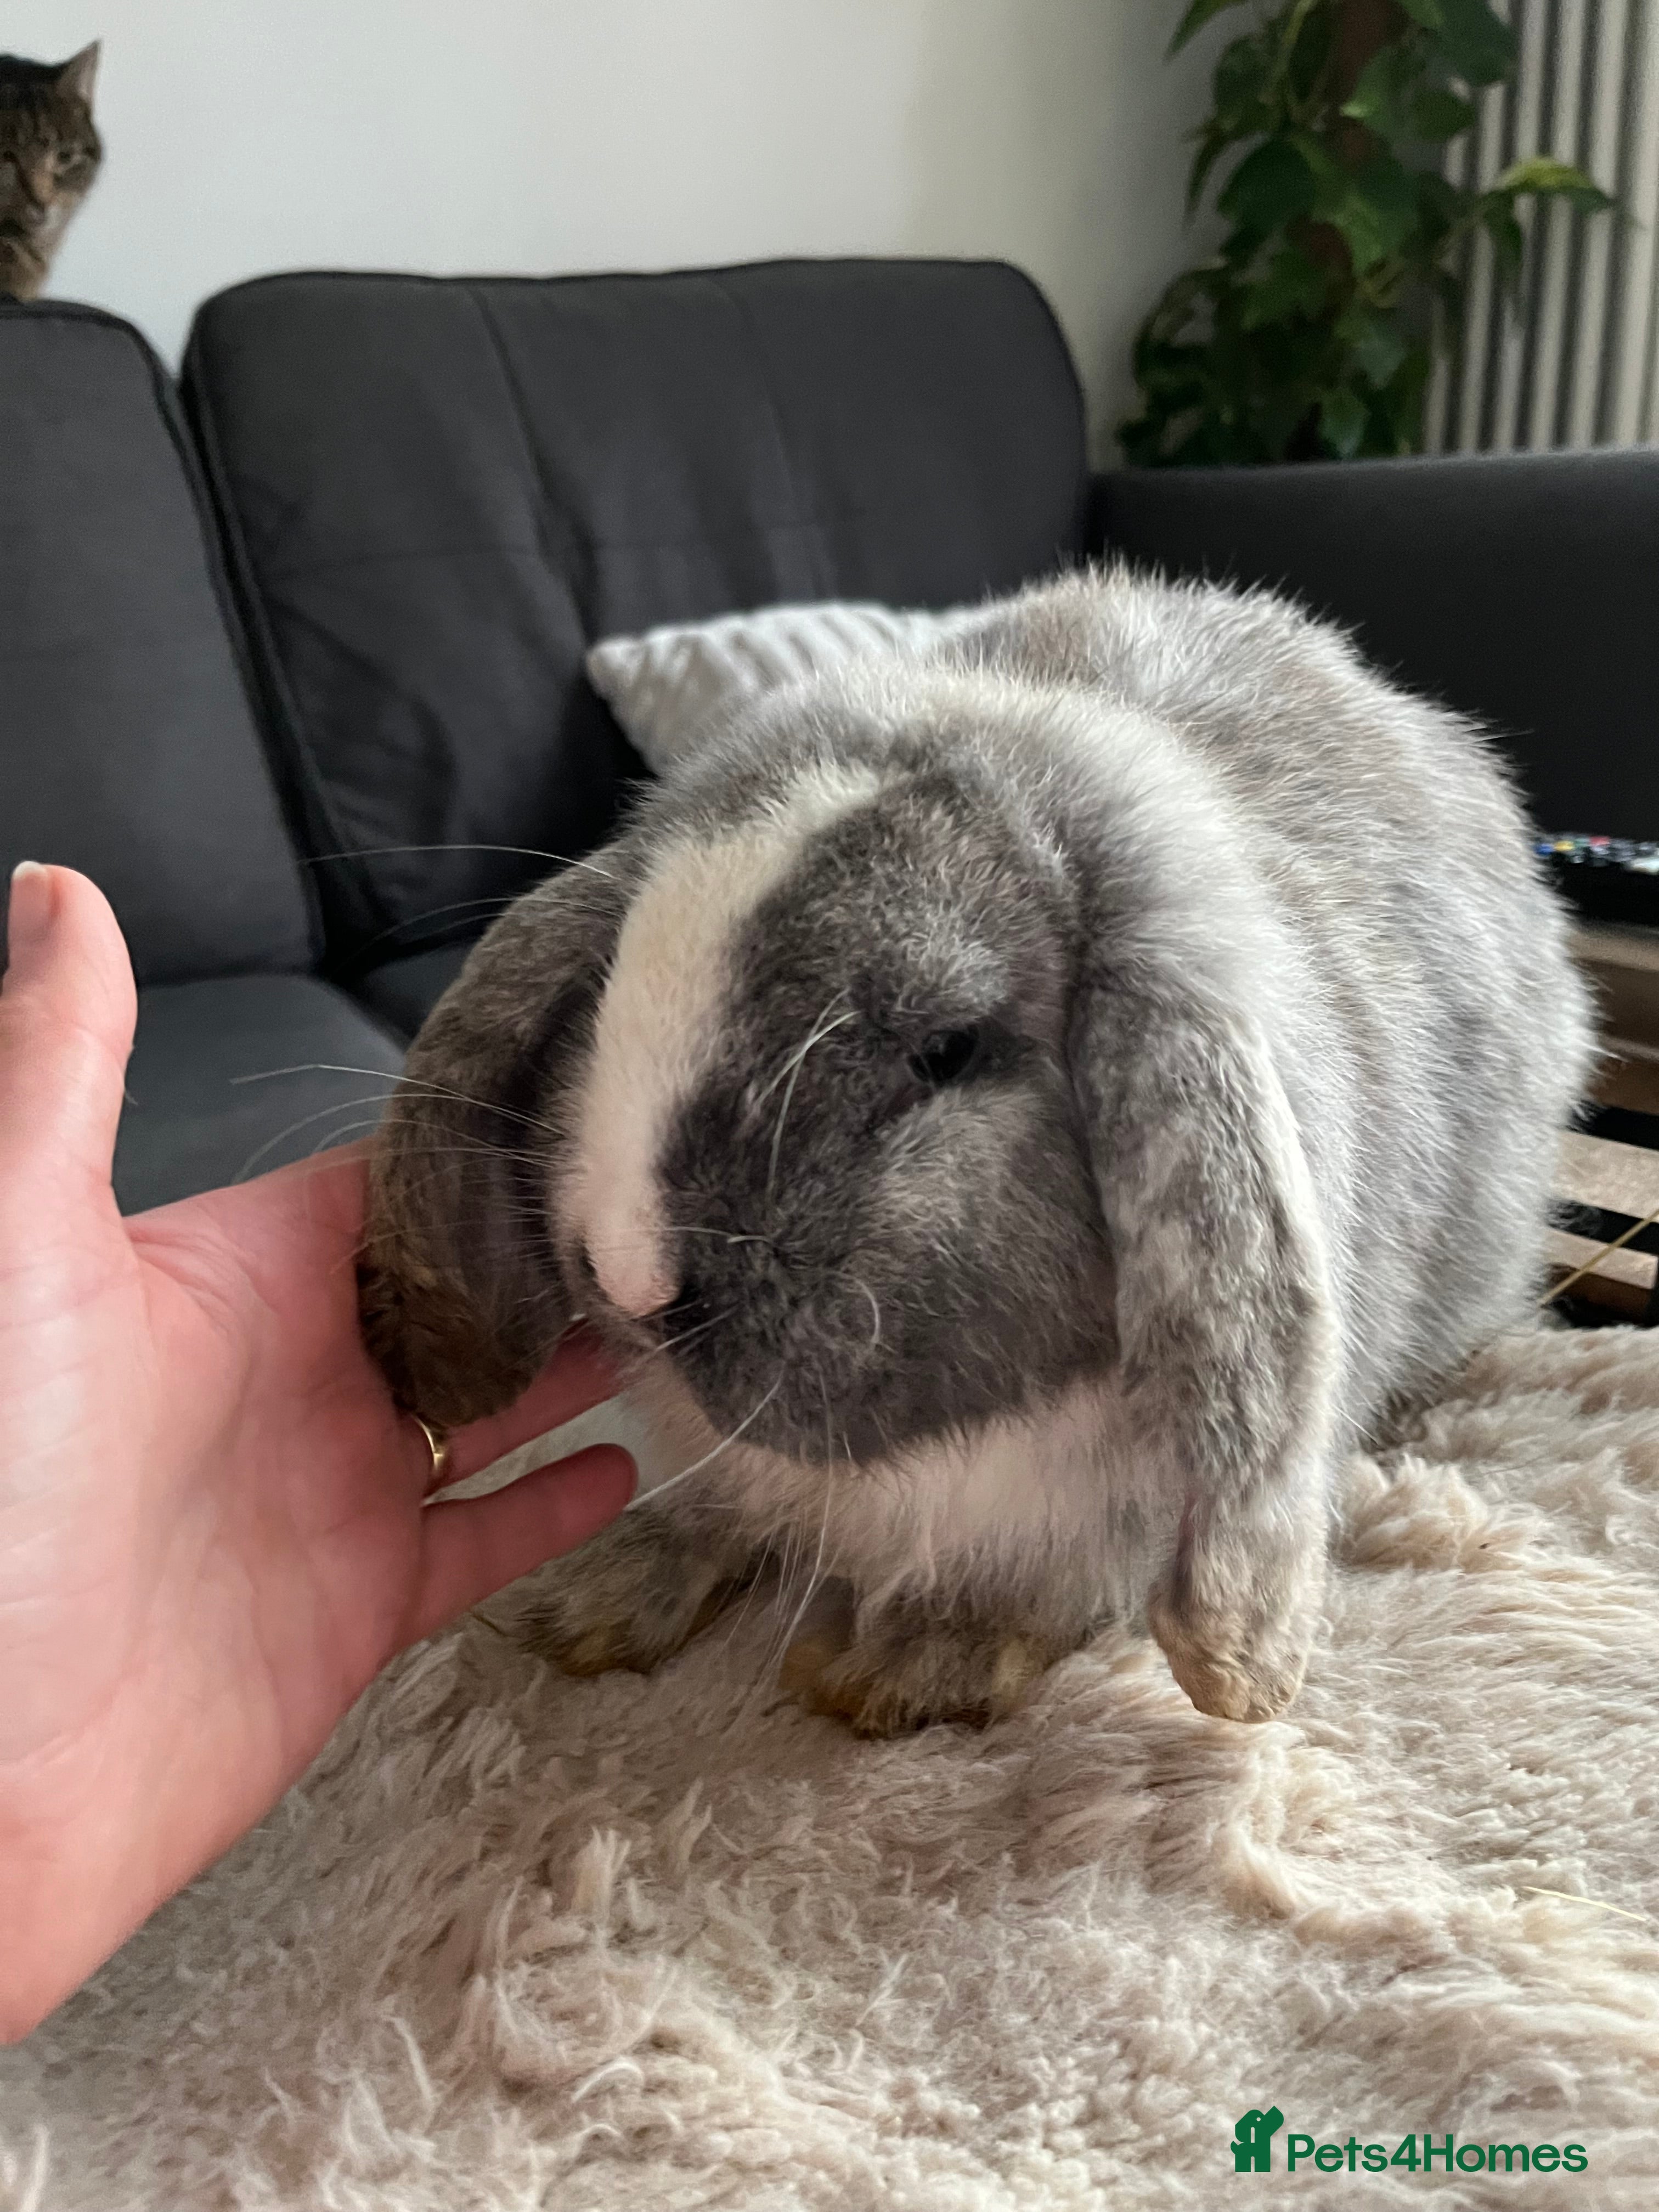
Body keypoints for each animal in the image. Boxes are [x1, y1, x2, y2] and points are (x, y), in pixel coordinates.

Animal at [359, 565, 1591, 1736]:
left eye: (945, 1049)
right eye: (614, 983)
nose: (626, 1272)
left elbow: (1026, 1601)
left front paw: (904, 1672)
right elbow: (706, 1518)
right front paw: (588, 1605)